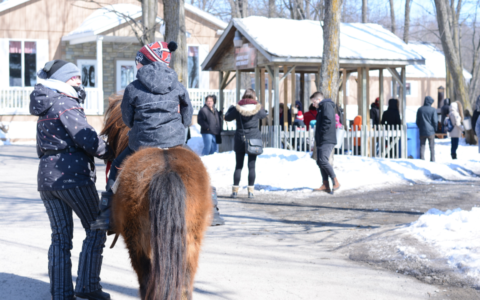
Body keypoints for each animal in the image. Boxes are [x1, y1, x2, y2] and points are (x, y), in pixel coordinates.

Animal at [101, 95, 212, 298]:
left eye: (108, 132)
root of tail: (166, 171)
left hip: (137, 241)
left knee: (146, 280)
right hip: (190, 240)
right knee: (184, 283)